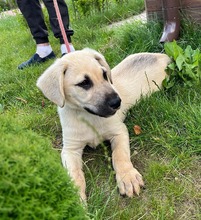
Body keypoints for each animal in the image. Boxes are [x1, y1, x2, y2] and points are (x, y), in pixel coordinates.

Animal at [36, 48, 170, 201]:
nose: (117, 102)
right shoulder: (70, 149)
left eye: (104, 75)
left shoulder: (119, 131)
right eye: (84, 83)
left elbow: (119, 155)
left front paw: (127, 177)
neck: (89, 117)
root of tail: (163, 56)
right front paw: (75, 197)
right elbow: (74, 174)